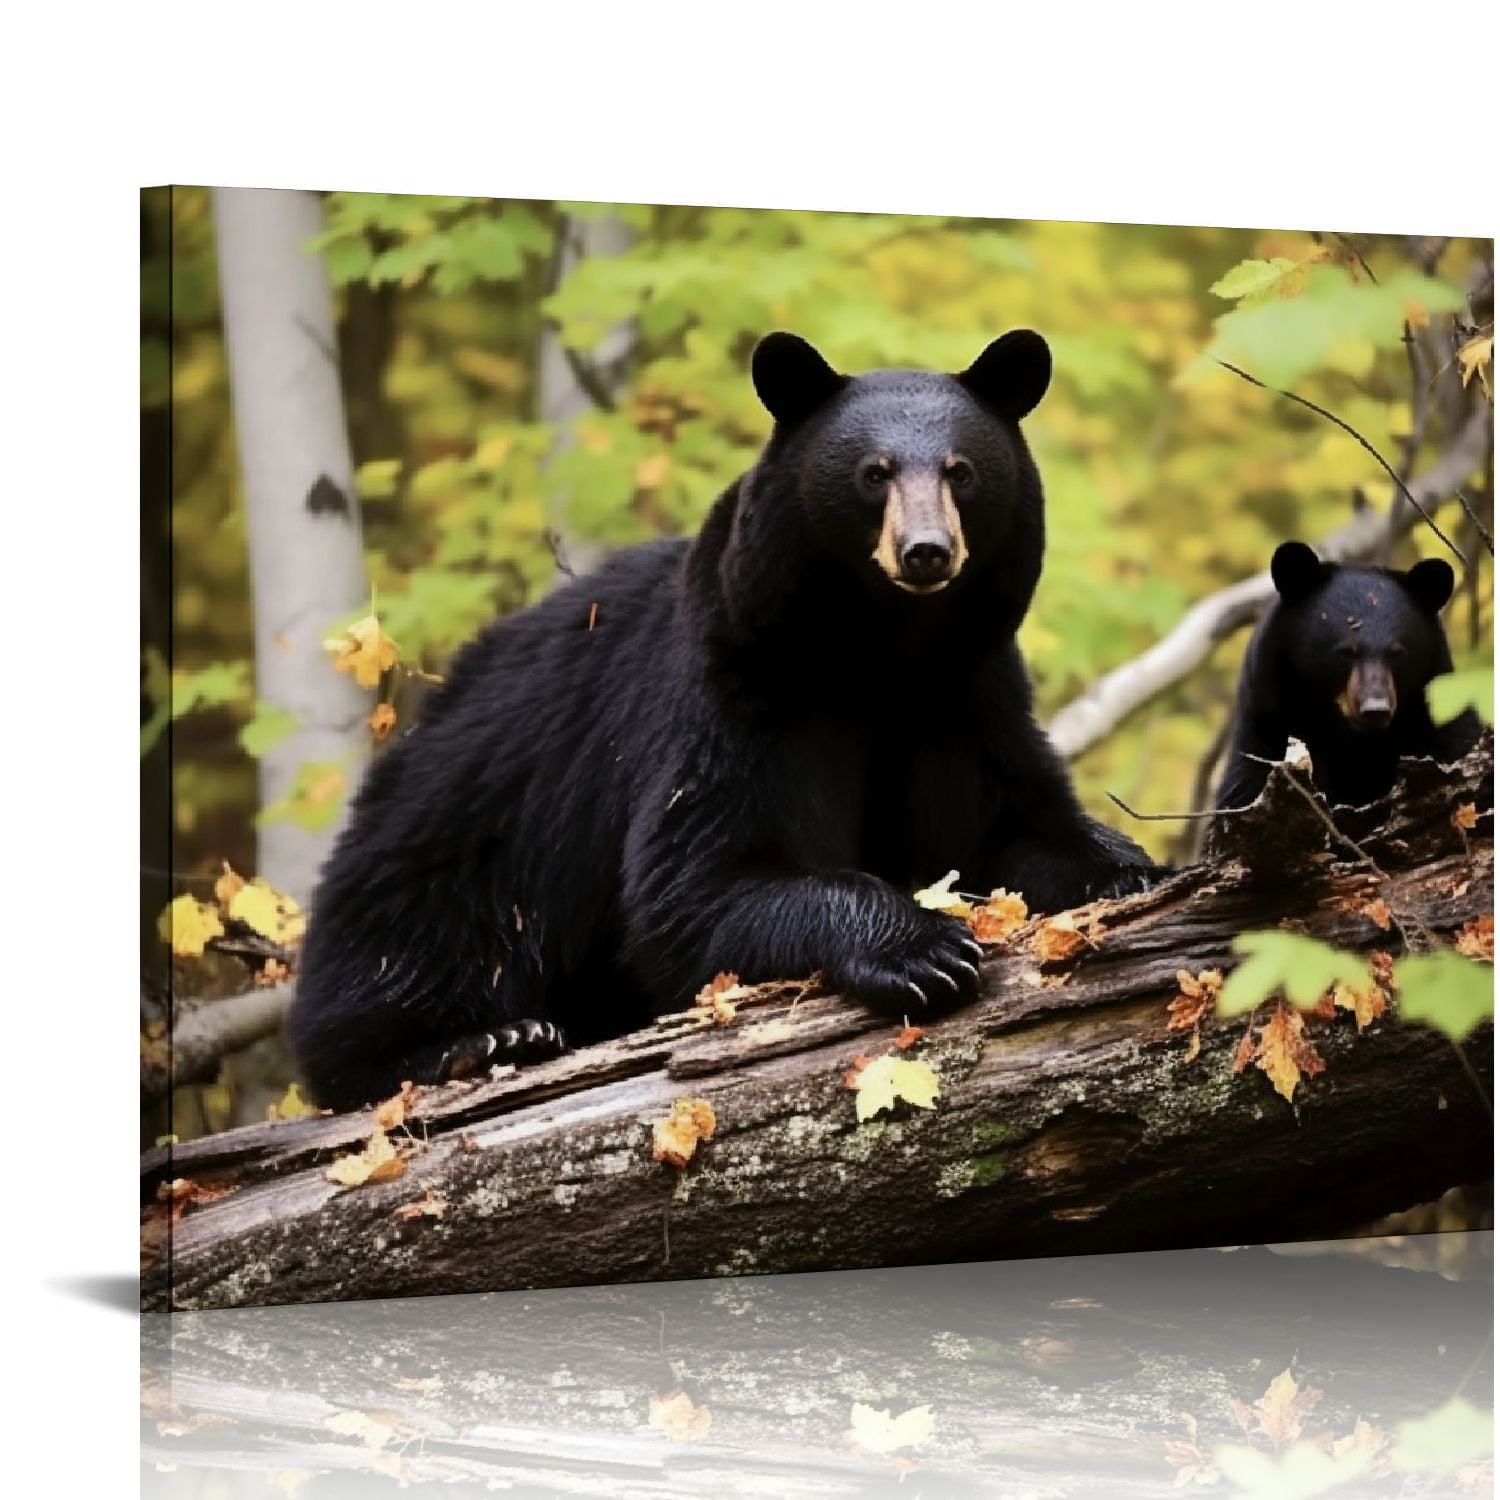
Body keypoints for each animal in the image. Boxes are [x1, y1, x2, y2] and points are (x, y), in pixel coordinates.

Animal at [288, 330, 1161, 1110]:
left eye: (963, 471)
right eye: (873, 473)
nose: (926, 551)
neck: (884, 651)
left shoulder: (966, 697)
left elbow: (1011, 825)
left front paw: (1131, 870)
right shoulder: (740, 688)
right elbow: (700, 882)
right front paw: (924, 948)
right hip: (458, 837)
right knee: (405, 951)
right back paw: (482, 1039)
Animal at [1214, 539, 1483, 811]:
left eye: (1396, 652)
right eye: (1346, 651)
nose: (1375, 709)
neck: (1353, 743)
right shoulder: (1266, 726)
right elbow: (1246, 786)